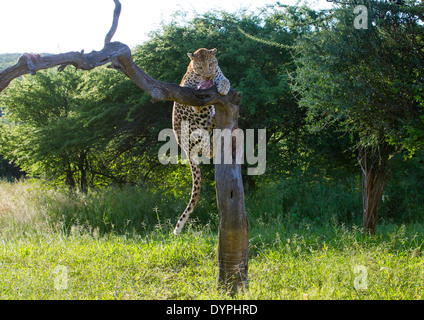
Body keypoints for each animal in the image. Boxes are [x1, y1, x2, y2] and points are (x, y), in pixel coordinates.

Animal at [172, 47, 230, 234]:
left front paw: (224, 87)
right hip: (190, 129)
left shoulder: (218, 73)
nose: (208, 76)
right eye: (199, 67)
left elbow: (224, 79)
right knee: (206, 146)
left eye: (211, 64)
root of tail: (183, 148)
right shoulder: (190, 94)